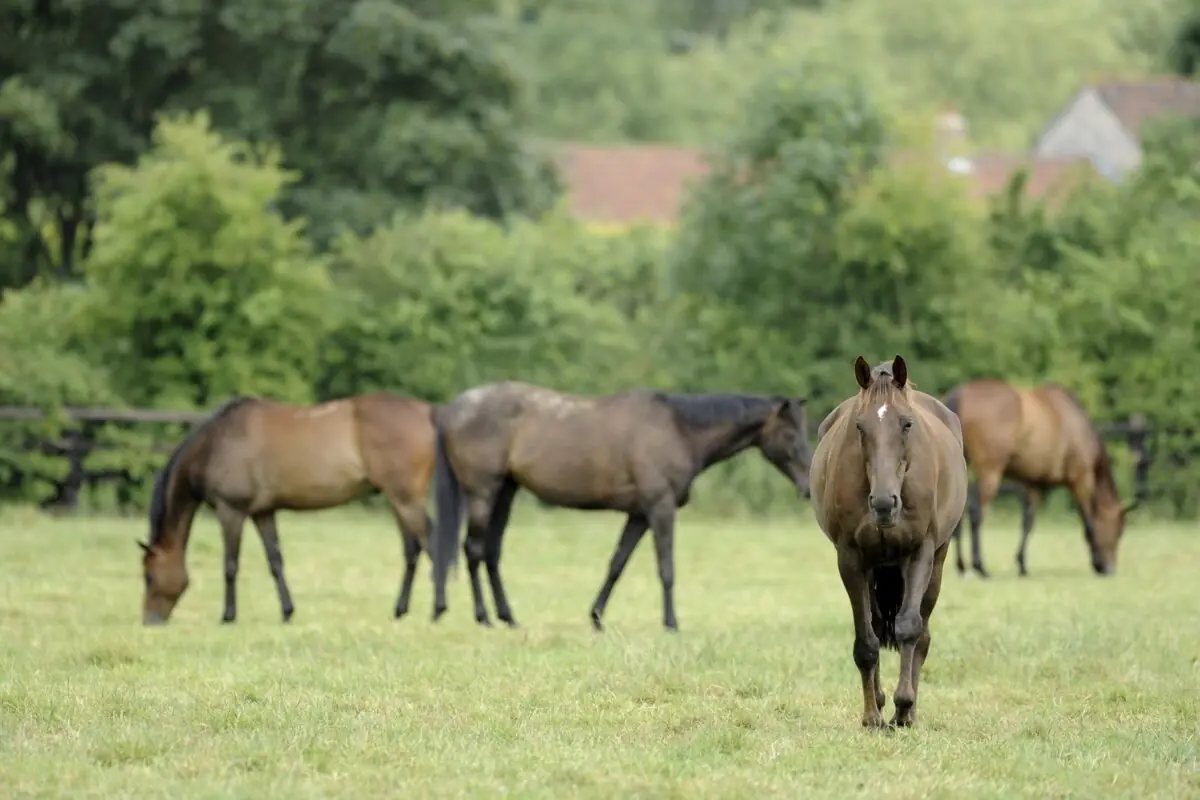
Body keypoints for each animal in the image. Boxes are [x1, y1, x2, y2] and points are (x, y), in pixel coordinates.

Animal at [138, 393, 436, 625]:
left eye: (149, 577)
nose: (150, 621)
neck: (215, 445)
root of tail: (427, 414)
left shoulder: (231, 511)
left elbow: (230, 565)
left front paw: (228, 616)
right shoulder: (263, 513)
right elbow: (275, 561)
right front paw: (287, 612)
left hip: (405, 499)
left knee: (431, 544)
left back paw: (438, 610)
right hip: (399, 500)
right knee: (412, 550)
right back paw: (400, 610)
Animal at [427, 381, 813, 633]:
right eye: (791, 434)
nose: (810, 486)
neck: (679, 429)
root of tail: (452, 410)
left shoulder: (639, 515)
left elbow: (617, 564)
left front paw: (596, 617)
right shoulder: (660, 509)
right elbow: (666, 568)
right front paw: (671, 623)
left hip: (505, 492)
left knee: (491, 553)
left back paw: (508, 617)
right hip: (483, 492)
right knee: (474, 550)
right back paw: (484, 617)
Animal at [810, 356, 967, 728]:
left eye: (907, 424)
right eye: (859, 426)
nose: (884, 504)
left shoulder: (920, 552)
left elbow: (909, 628)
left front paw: (904, 707)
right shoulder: (851, 558)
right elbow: (867, 641)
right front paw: (872, 716)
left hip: (937, 561)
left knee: (922, 633)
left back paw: (909, 711)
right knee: (879, 625)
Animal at [943, 378, 1140, 578]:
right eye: (1119, 531)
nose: (1109, 569)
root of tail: (960, 395)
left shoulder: (1034, 484)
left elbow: (1028, 523)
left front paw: (1022, 565)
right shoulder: (1080, 481)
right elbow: (1089, 522)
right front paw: (1097, 561)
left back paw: (962, 566)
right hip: (990, 473)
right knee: (977, 514)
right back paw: (980, 566)